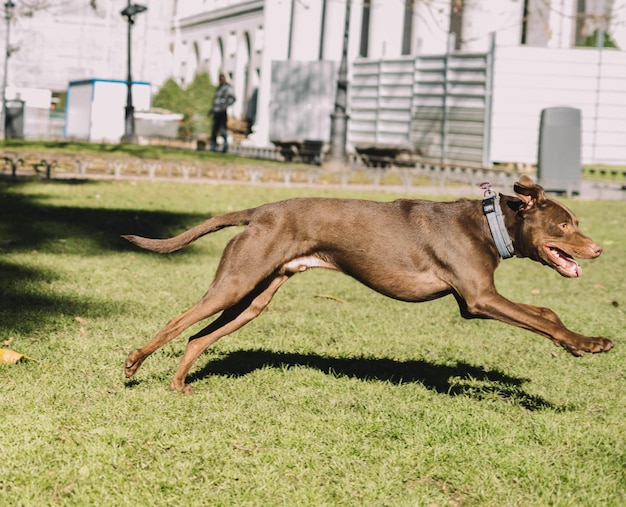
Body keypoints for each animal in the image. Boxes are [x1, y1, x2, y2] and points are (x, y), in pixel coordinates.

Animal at [123, 175, 616, 392]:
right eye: (565, 225)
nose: (598, 250)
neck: (489, 223)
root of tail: (259, 211)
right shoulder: (478, 299)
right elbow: (543, 319)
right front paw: (589, 342)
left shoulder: (481, 298)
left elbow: (545, 312)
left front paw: (574, 345)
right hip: (236, 282)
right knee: (176, 323)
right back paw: (133, 363)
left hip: (252, 299)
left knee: (196, 337)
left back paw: (178, 384)